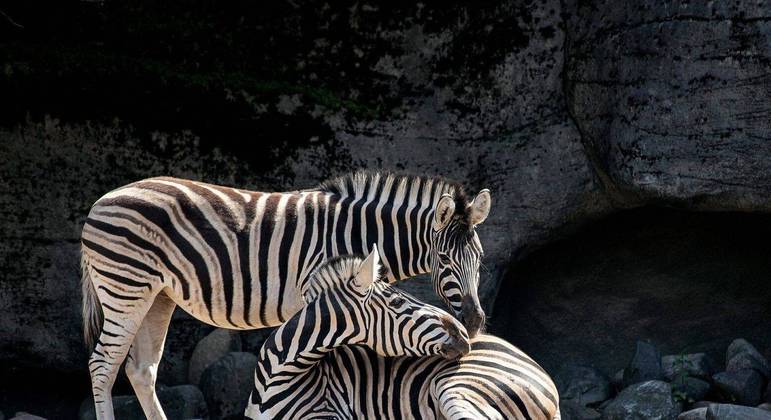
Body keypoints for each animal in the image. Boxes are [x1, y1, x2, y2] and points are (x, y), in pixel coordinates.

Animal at [80, 171, 491, 419]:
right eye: (443, 259)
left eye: (480, 258)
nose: (474, 322)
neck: (360, 233)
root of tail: (102, 200)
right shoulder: (321, 293)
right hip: (124, 286)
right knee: (102, 365)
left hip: (157, 294)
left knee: (140, 369)